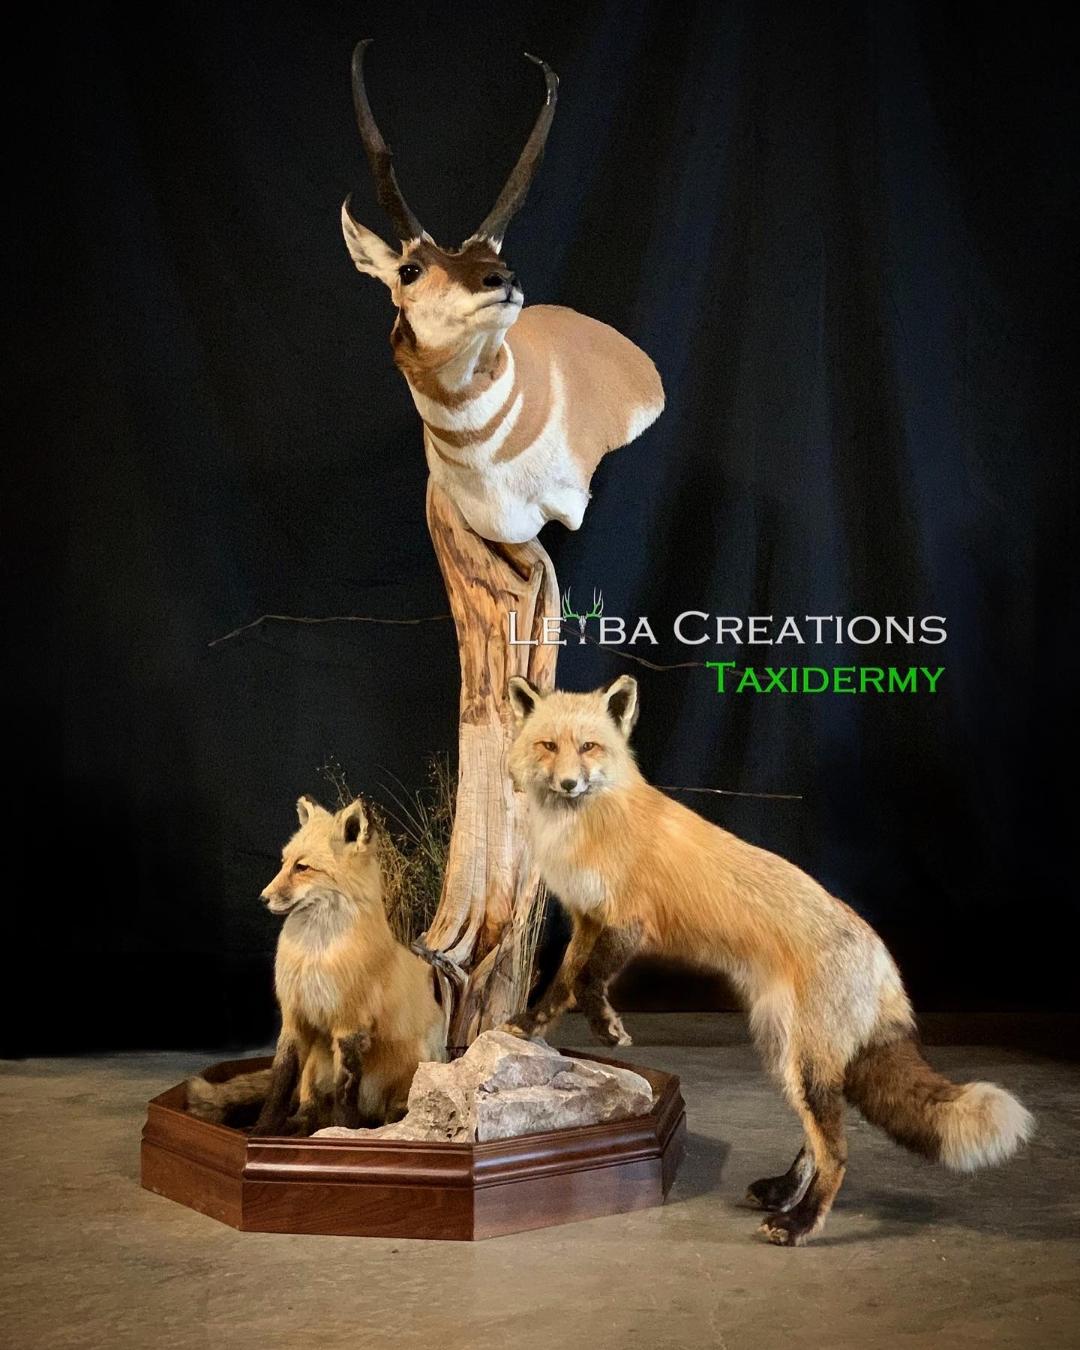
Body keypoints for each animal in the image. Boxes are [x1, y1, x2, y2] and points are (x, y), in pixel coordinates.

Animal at [187, 796, 445, 1135]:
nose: (262, 898)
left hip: (415, 1060)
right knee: (307, 1109)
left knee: (392, 1109)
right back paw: (296, 1127)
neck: (315, 957)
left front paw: (342, 1134)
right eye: (284, 863)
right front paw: (262, 1132)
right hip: (314, 1067)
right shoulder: (295, 1017)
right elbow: (280, 1084)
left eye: (302, 867)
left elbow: (345, 1098)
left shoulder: (349, 1027)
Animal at [502, 673, 1034, 1246]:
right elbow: (562, 984)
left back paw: (799, 1223)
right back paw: (784, 1193)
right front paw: (528, 1025)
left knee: (837, 1153)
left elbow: (589, 982)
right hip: (787, 1055)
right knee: (815, 1142)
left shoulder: (628, 921)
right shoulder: (587, 920)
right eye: (548, 745)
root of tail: (883, 958)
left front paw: (607, 1029)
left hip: (804, 1060)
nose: (569, 784)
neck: (588, 826)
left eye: (589, 747)